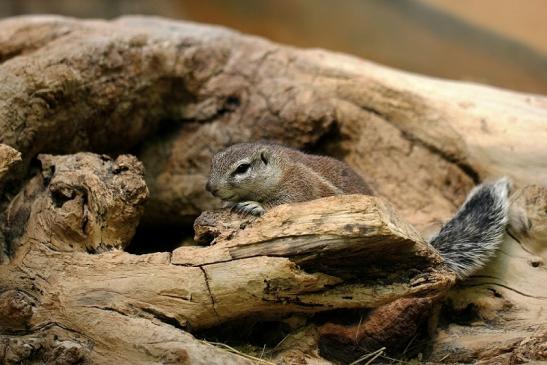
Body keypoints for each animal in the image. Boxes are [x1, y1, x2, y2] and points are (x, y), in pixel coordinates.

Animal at [208, 142, 512, 278]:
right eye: (213, 160)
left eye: (242, 168)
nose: (210, 188)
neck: (282, 169)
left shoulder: (298, 188)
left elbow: (281, 204)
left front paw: (253, 205)